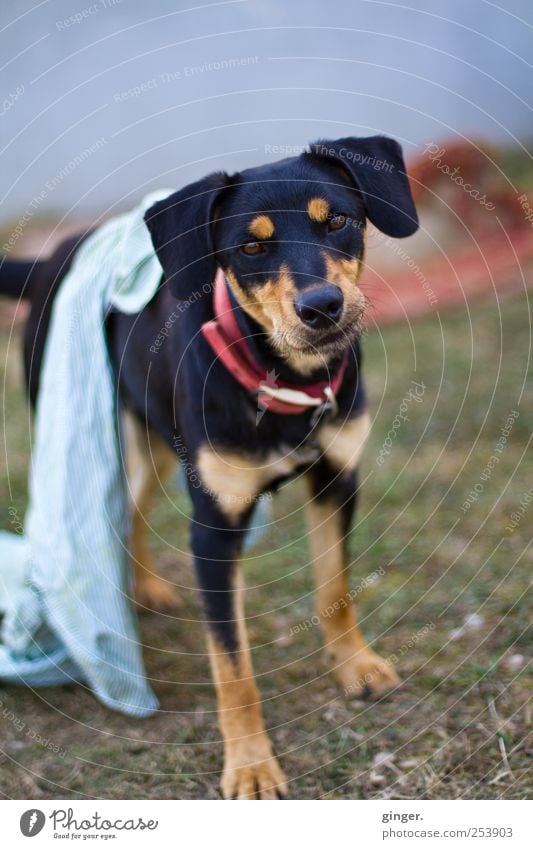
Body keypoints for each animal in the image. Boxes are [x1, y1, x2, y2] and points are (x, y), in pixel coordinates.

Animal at [2, 136, 420, 800]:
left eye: (339, 221)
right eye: (250, 246)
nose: (322, 307)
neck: (281, 381)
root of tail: (52, 257)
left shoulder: (337, 482)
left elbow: (335, 587)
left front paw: (355, 667)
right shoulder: (215, 528)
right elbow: (233, 666)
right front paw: (250, 765)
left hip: (150, 440)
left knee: (135, 514)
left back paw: (146, 587)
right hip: (113, 435)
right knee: (116, 515)